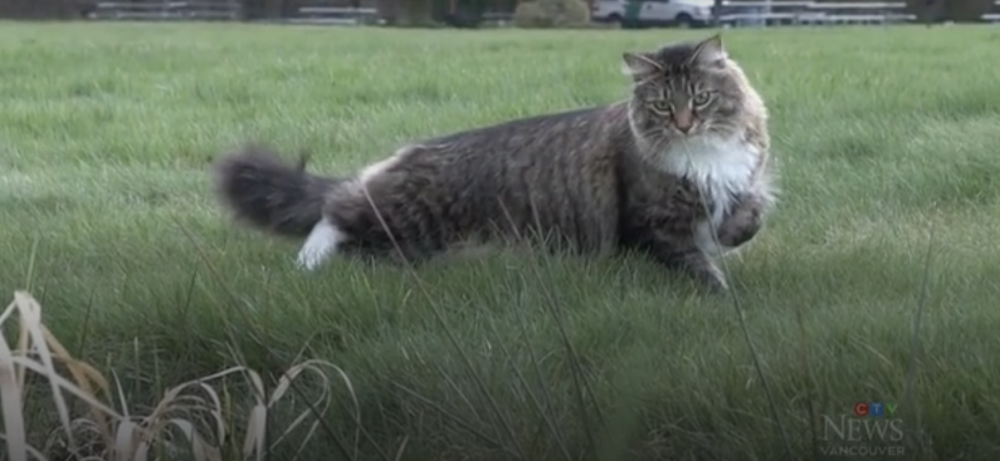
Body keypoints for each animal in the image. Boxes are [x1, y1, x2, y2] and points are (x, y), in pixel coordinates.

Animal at [211, 34, 776, 291]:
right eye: (661, 105)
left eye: (700, 98)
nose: (683, 124)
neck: (701, 154)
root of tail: (406, 153)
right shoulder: (652, 222)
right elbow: (698, 266)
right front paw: (724, 298)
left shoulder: (745, 179)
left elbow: (747, 214)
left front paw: (731, 234)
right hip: (406, 220)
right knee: (335, 214)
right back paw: (308, 266)